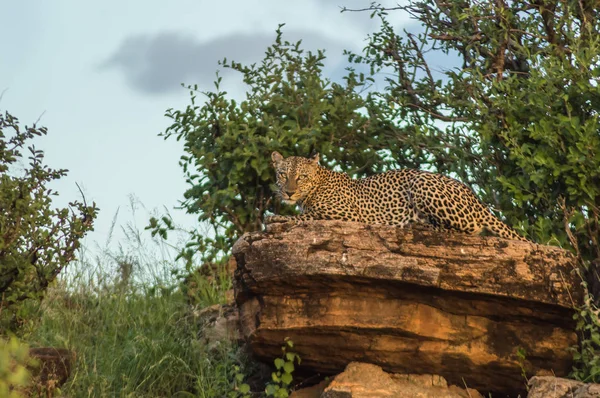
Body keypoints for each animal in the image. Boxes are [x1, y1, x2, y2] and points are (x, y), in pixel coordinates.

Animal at [268, 151, 528, 241]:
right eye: (283, 174)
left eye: (301, 176)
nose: (289, 192)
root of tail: (474, 195)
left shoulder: (348, 215)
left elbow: (307, 216)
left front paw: (276, 218)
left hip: (421, 183)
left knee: (469, 229)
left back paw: (421, 226)